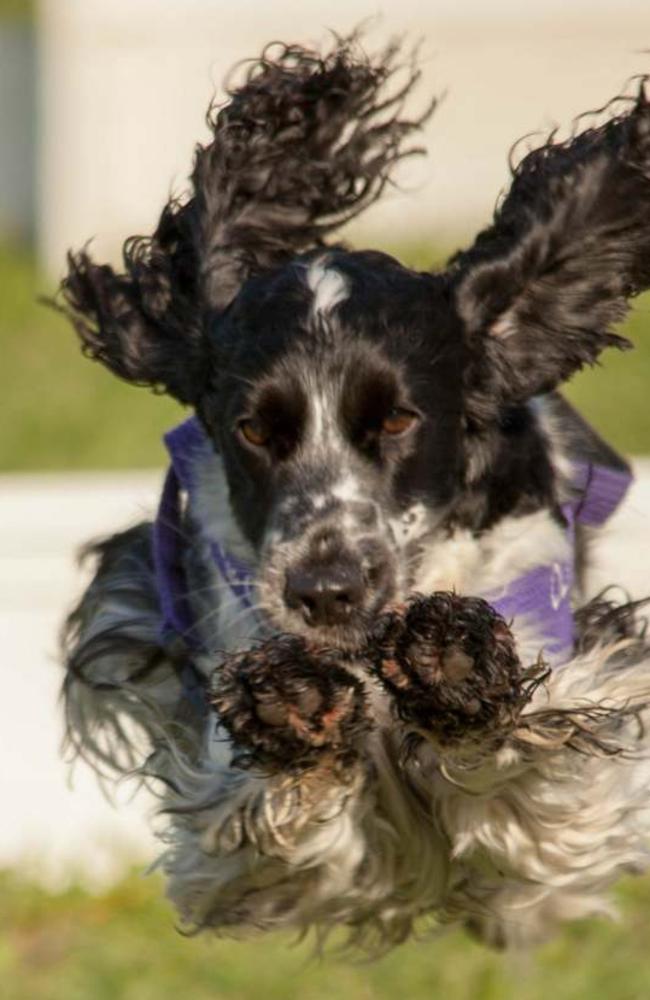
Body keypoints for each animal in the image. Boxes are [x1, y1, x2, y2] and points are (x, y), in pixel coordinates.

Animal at [58, 35, 648, 948]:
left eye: (401, 419)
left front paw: (454, 664)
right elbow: (275, 809)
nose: (326, 591)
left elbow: (523, 770)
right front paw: (289, 704)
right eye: (253, 430)